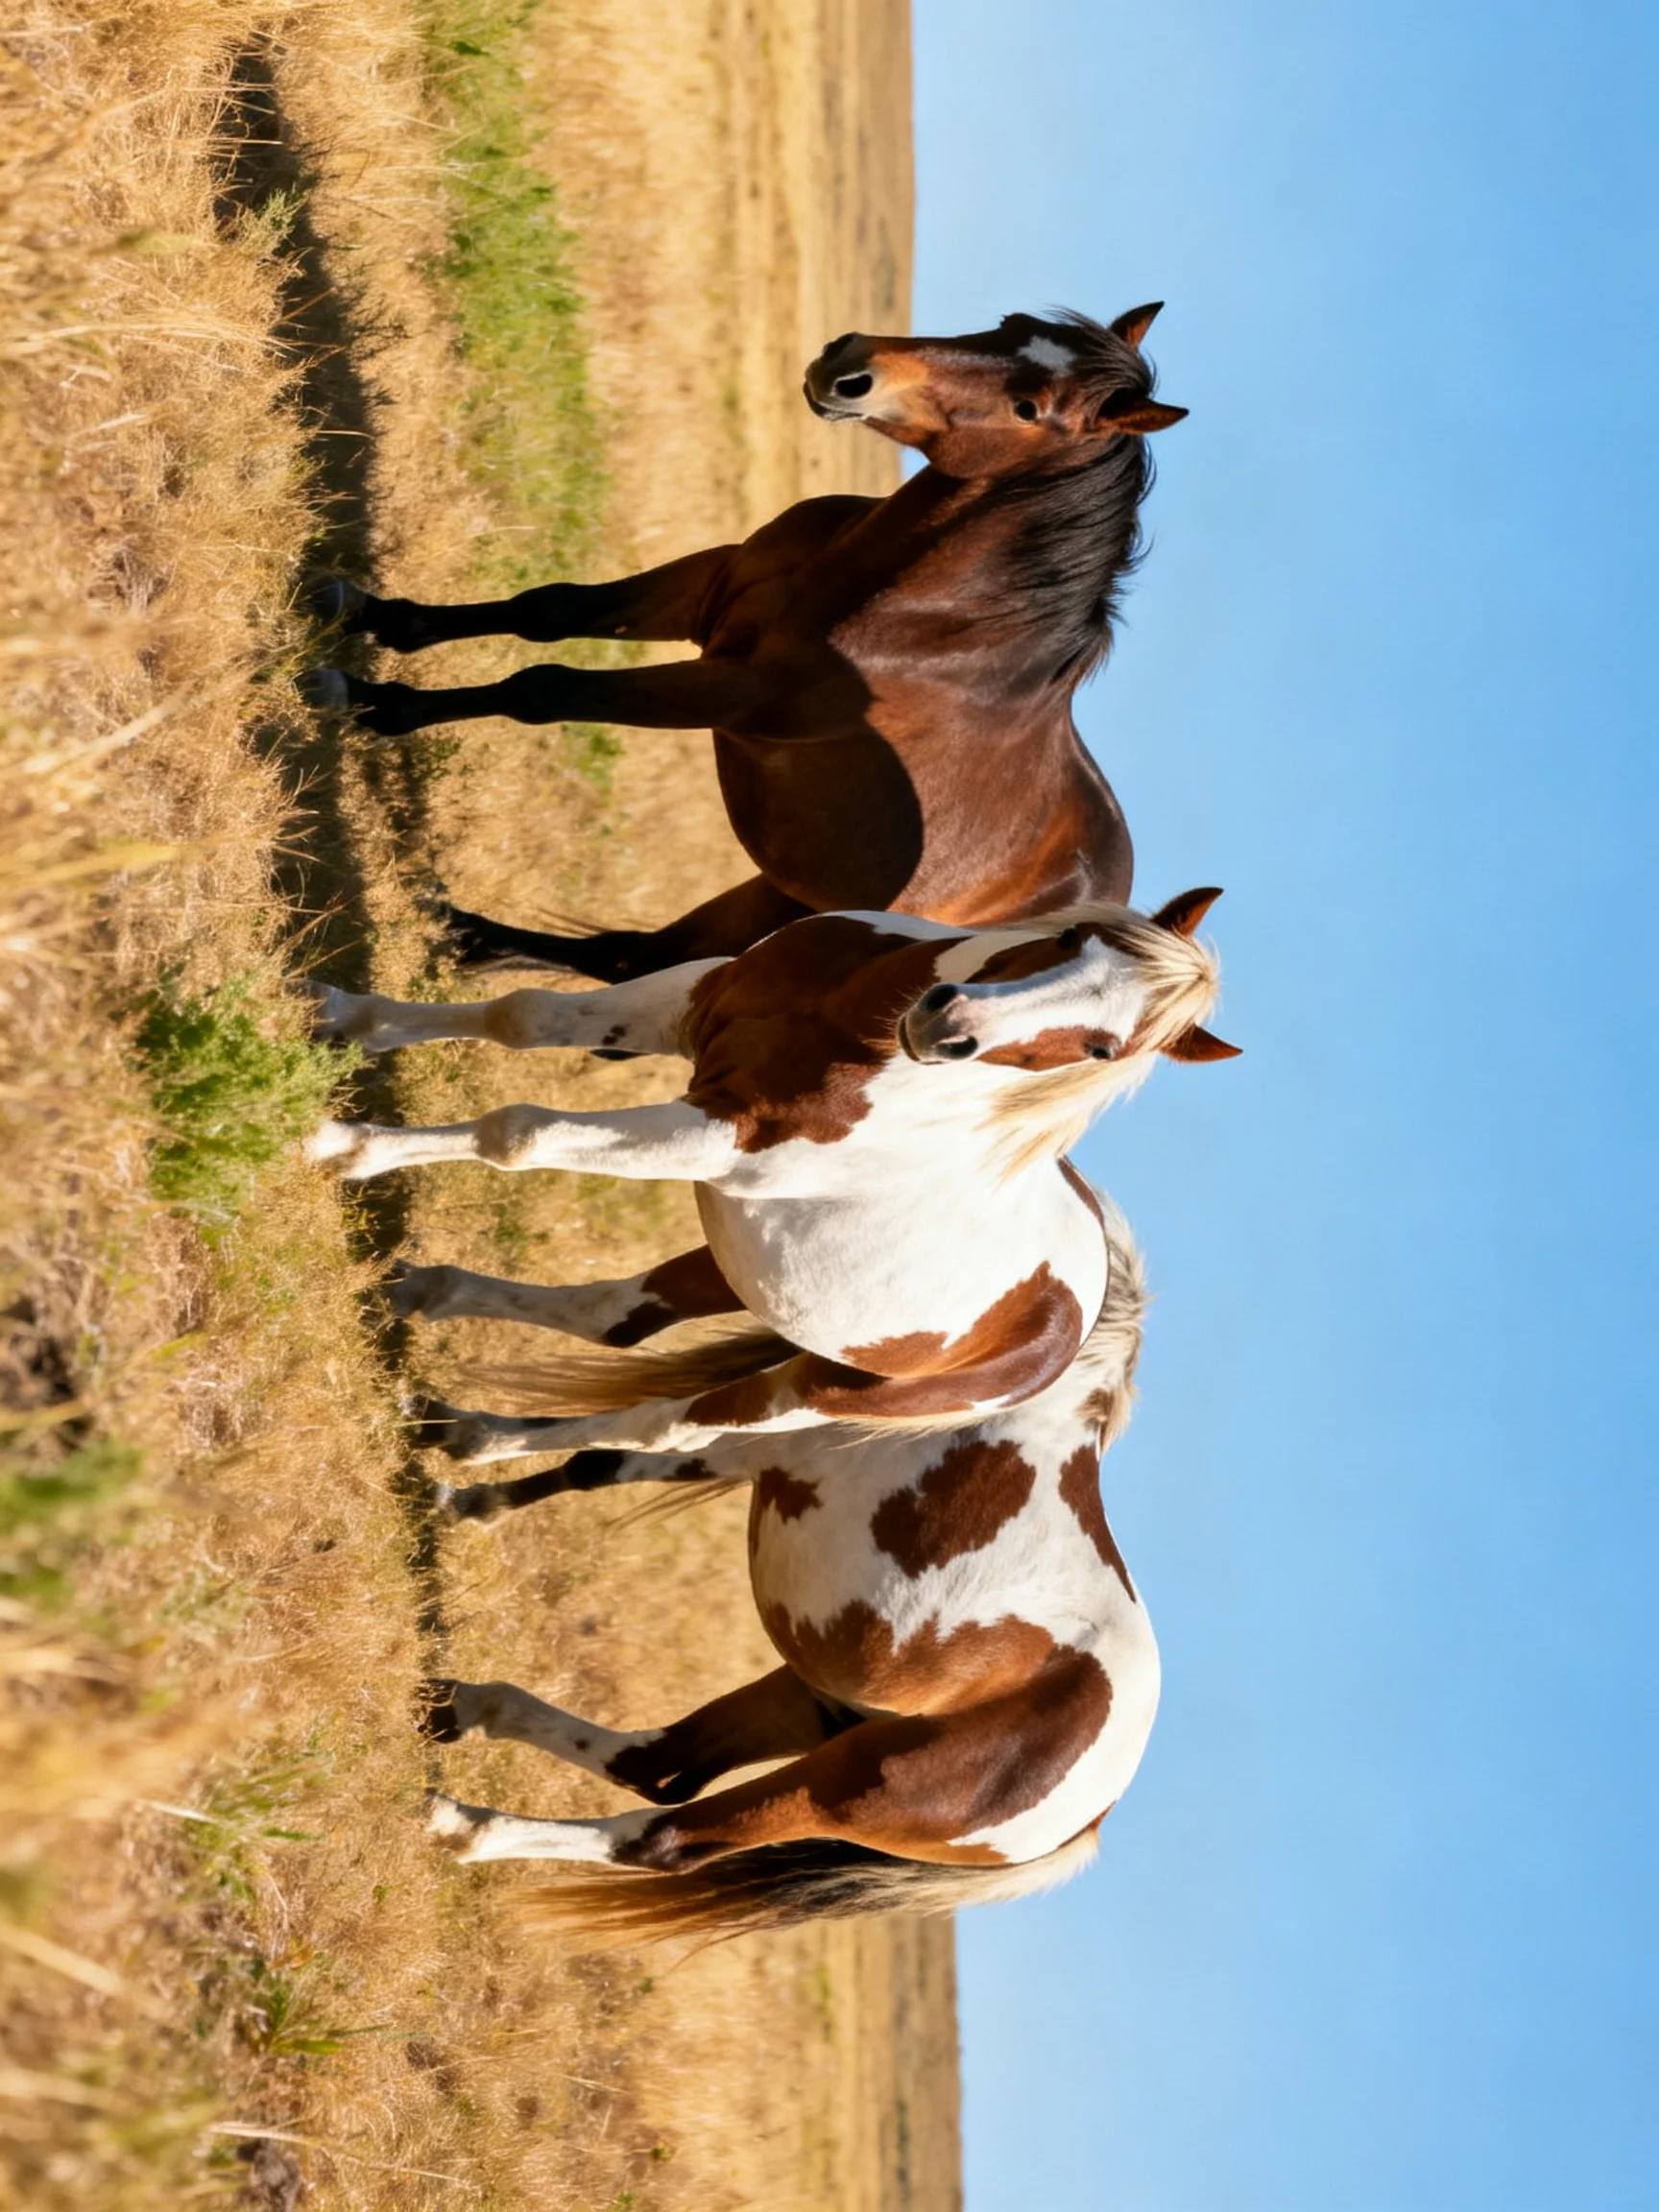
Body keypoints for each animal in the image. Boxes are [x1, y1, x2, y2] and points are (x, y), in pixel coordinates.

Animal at [301, 305, 1188, 982]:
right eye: (1010, 325)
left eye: (1030, 407)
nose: (850, 366)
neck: (914, 614)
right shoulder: (704, 589)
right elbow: (545, 609)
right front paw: (369, 613)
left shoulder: (727, 689)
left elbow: (544, 686)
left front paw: (367, 699)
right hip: (780, 889)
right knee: (629, 959)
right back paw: (456, 932)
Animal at [305, 892, 1233, 1440]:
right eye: (1076, 936)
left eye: (1105, 1047)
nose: (949, 1025)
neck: (859, 1032)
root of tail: (1082, 1321)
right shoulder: (689, 996)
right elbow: (519, 1014)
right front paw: (342, 1016)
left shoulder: (716, 1136)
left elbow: (519, 1134)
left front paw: (342, 1145)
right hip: (738, 1268)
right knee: (615, 1318)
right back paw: (433, 1328)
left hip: (808, 1393)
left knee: (659, 1425)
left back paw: (473, 1436)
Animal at [421, 1215, 1158, 1936]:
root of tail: (1093, 1814)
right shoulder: (747, 1453)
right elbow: (594, 1464)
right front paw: (460, 1491)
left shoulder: (753, 1440)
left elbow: (612, 1434)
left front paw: (460, 1437)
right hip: (808, 1702)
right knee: (658, 1768)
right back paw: (458, 1707)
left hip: (837, 1786)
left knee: (661, 1837)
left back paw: (459, 1822)